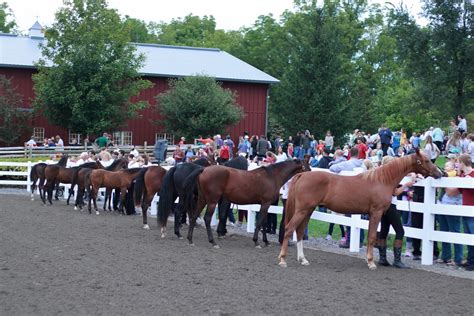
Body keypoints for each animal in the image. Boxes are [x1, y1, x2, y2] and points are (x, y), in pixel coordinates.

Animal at [182, 159, 312, 248]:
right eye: (308, 168)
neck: (272, 177)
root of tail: (203, 169)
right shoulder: (266, 203)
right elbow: (260, 222)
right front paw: (257, 242)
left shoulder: (264, 204)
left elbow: (263, 223)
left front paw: (266, 241)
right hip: (212, 202)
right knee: (207, 218)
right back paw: (213, 242)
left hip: (202, 200)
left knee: (194, 216)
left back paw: (190, 239)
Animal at [276, 149, 442, 270]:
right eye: (426, 160)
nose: (439, 173)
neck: (382, 180)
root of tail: (302, 175)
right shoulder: (376, 213)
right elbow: (373, 236)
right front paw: (371, 262)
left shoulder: (379, 214)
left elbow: (376, 236)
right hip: (302, 211)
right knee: (289, 229)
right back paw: (283, 260)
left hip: (308, 211)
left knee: (299, 231)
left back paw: (303, 259)